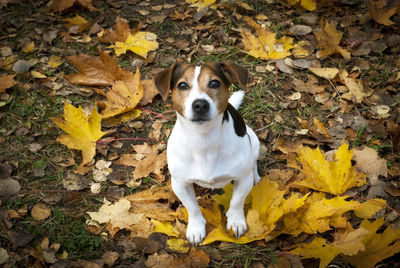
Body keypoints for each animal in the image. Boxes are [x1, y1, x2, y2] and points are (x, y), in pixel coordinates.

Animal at [155, 61, 260, 245]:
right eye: (182, 85)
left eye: (214, 83)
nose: (200, 105)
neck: (203, 140)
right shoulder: (180, 184)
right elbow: (192, 208)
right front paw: (196, 228)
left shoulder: (242, 179)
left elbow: (237, 201)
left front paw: (236, 221)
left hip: (253, 141)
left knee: (253, 163)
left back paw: (255, 175)